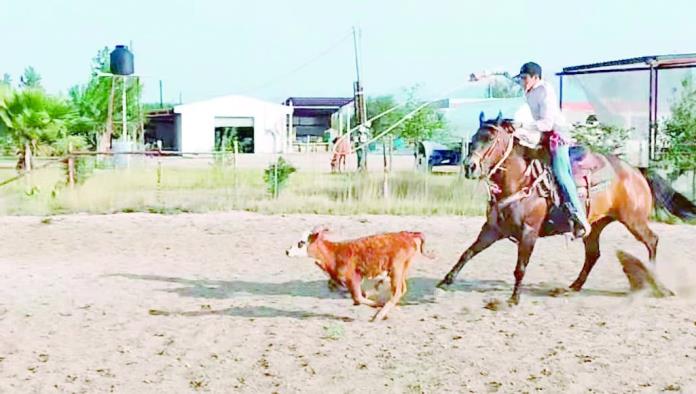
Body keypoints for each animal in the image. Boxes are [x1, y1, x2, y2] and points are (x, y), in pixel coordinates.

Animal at [286, 226, 432, 322]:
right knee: (402, 289)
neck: (335, 253)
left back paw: (379, 315)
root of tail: (406, 234)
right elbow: (359, 298)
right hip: (402, 269)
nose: (287, 251)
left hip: (397, 268)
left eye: (301, 243)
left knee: (397, 291)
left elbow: (358, 298)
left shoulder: (353, 279)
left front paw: (379, 307)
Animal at [438, 111, 692, 304]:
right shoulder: (492, 228)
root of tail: (636, 170)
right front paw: (445, 281)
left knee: (652, 241)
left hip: (634, 219)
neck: (520, 181)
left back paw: (655, 282)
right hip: (594, 225)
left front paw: (514, 298)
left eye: (491, 138)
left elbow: (520, 267)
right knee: (593, 254)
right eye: (474, 137)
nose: (469, 166)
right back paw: (573, 287)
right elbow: (468, 252)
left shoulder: (529, 232)